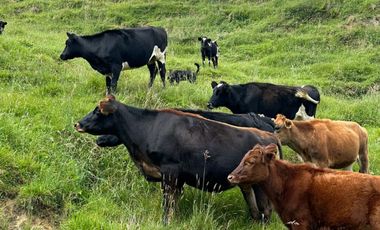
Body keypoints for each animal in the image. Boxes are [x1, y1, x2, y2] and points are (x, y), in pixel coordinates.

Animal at [75, 95, 282, 225]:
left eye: (97, 111)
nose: (77, 124)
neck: (148, 127)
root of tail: (269, 135)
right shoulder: (178, 178)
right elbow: (174, 202)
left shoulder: (170, 172)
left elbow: (168, 204)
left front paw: (165, 222)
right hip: (247, 184)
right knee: (254, 208)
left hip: (260, 185)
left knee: (265, 209)